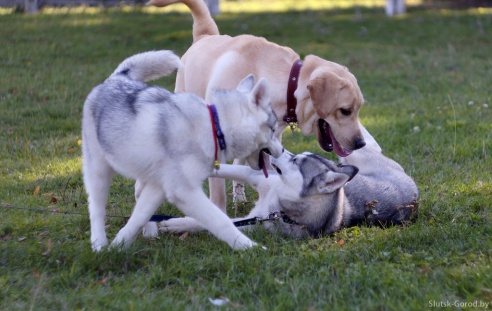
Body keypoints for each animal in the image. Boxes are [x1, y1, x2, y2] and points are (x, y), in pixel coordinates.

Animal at [82, 50, 282, 251]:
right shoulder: (184, 191)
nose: (282, 151)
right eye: (273, 130)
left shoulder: (161, 186)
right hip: (99, 171)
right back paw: (98, 244)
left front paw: (119, 244)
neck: (215, 126)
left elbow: (138, 217)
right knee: (96, 209)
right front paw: (250, 247)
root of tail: (117, 78)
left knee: (138, 195)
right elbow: (221, 221)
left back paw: (149, 231)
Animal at [148, 0, 368, 211]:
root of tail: (205, 35)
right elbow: (218, 191)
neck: (284, 84)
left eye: (358, 109)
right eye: (345, 111)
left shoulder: (273, 140)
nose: (361, 144)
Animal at [159, 125, 418, 238]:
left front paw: (176, 224)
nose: (278, 149)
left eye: (295, 161)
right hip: (352, 158)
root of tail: (408, 180)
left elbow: (207, 222)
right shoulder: (256, 176)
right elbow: (222, 169)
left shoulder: (254, 224)